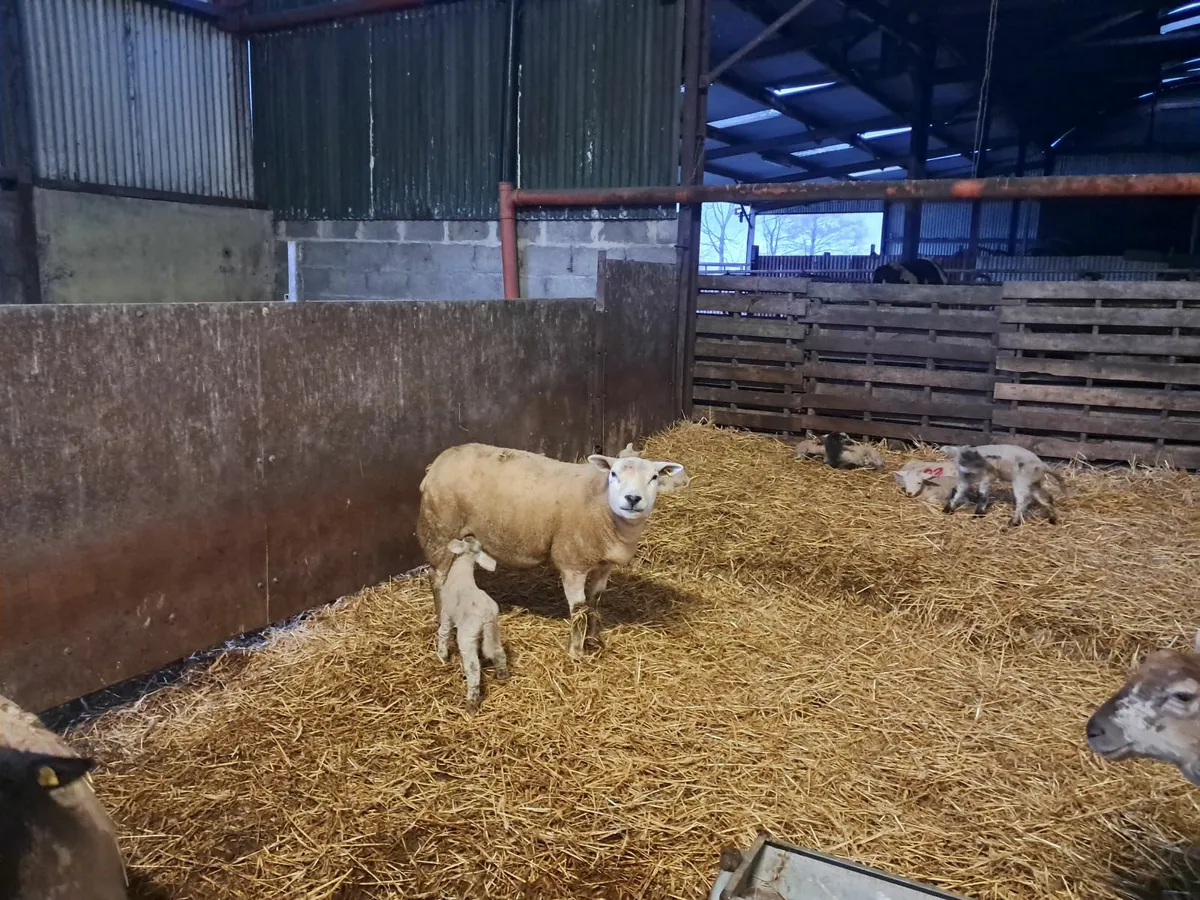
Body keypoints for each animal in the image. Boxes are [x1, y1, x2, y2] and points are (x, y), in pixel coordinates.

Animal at [417, 443, 685, 661]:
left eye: (654, 477)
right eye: (613, 473)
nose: (632, 498)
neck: (601, 504)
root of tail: (437, 462)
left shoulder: (603, 565)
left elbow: (595, 602)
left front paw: (594, 640)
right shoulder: (573, 563)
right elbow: (579, 609)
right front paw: (576, 653)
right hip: (439, 530)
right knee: (437, 579)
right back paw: (443, 626)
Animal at [437, 537, 510, 713]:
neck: (463, 566)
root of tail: (486, 613)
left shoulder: (446, 612)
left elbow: (443, 631)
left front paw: (442, 654)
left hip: (467, 635)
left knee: (473, 667)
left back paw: (471, 703)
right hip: (494, 629)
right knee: (498, 651)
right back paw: (503, 675)